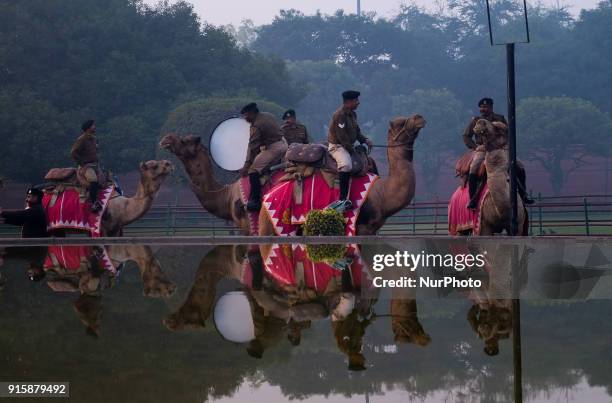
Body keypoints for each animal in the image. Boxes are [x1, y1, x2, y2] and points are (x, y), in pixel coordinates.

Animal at [256, 115, 426, 238]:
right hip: (273, 223)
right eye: (401, 123)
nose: (419, 117)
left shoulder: (372, 229)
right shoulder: (362, 227)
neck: (383, 193)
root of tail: (265, 199)